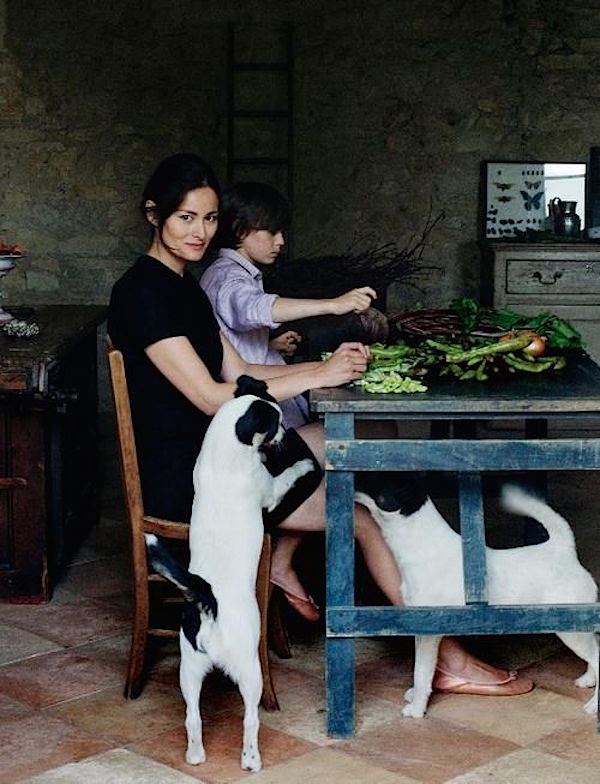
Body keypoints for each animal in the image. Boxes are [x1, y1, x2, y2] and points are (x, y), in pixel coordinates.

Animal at [146, 376, 314, 768]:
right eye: (276, 421)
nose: (287, 431)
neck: (224, 450)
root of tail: (209, 603)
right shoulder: (271, 491)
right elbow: (291, 474)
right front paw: (304, 462)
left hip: (189, 670)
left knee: (192, 717)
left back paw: (195, 755)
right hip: (250, 671)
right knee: (250, 718)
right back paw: (251, 760)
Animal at [354, 474, 596, 720]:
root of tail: (563, 550)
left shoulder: (427, 630)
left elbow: (421, 671)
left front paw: (417, 708)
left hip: (570, 627)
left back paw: (594, 705)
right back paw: (589, 679)